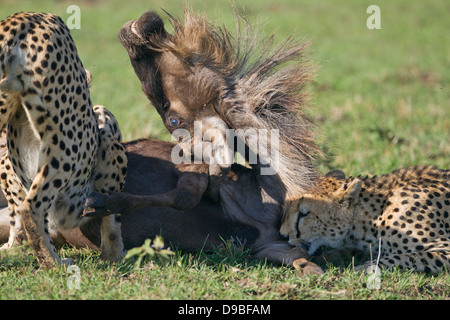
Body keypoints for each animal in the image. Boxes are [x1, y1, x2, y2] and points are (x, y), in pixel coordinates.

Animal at [282, 165, 450, 272]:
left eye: (304, 213)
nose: (283, 235)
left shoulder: (445, 248)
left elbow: (403, 257)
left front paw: (364, 267)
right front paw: (327, 256)